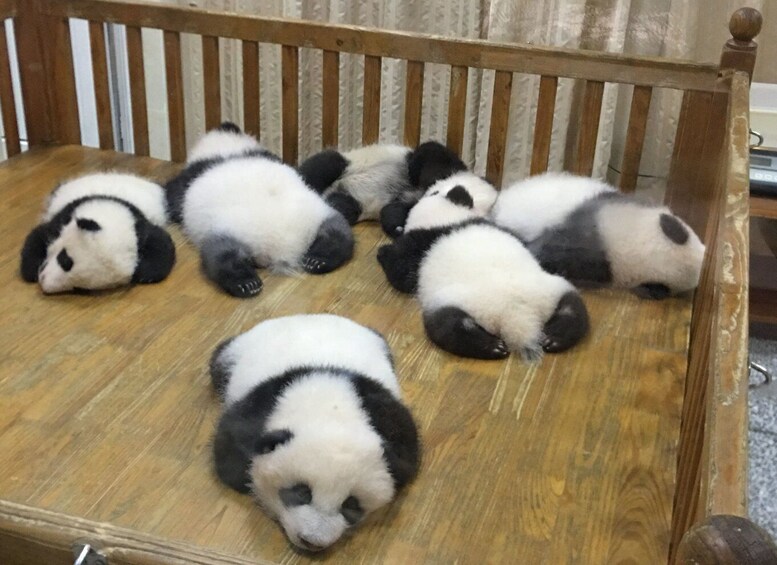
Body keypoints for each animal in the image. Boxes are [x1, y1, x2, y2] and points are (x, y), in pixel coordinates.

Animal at [20, 172, 176, 294]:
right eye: (64, 258)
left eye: (79, 288)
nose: (43, 280)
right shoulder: (65, 216)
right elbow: (38, 237)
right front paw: (31, 270)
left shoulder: (139, 227)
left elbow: (161, 247)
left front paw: (143, 273)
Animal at [164, 123, 355, 298]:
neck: (228, 149)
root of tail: (281, 247)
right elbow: (310, 170)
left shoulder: (189, 176)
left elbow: (171, 196)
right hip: (319, 215)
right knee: (337, 233)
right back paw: (319, 259)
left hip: (227, 231)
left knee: (220, 256)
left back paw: (245, 283)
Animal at [210, 314, 420, 553]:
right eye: (302, 492)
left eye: (351, 504)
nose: (313, 541)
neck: (331, 408)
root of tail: (307, 316)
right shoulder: (265, 403)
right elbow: (229, 448)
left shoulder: (381, 411)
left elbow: (406, 455)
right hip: (234, 353)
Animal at [377, 186, 589, 361]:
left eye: (434, 192)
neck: (447, 220)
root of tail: (517, 315)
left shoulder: (418, 246)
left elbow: (400, 272)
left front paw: (383, 253)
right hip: (551, 288)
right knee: (572, 308)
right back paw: (555, 338)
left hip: (454, 300)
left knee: (449, 326)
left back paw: (491, 346)